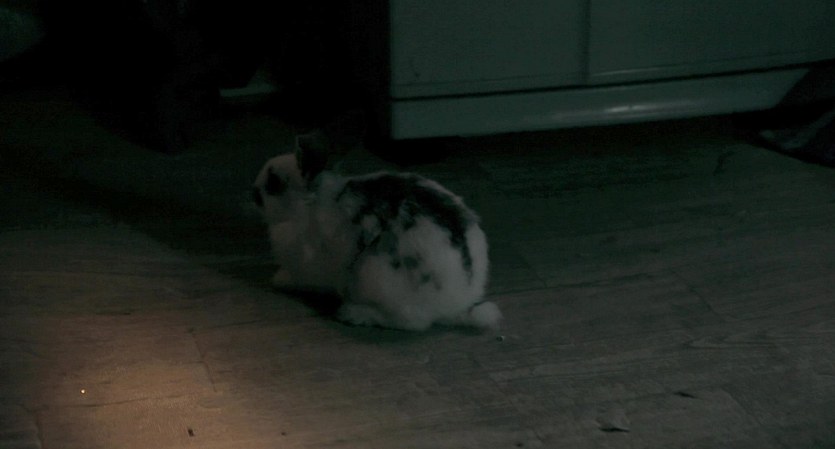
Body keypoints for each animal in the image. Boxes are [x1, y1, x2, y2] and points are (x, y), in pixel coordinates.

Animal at [251, 132, 501, 331]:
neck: (308, 205)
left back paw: (354, 314)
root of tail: (457, 303)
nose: (253, 193)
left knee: (411, 322)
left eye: (274, 183)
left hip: (374, 276)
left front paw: (278, 280)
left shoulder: (308, 265)